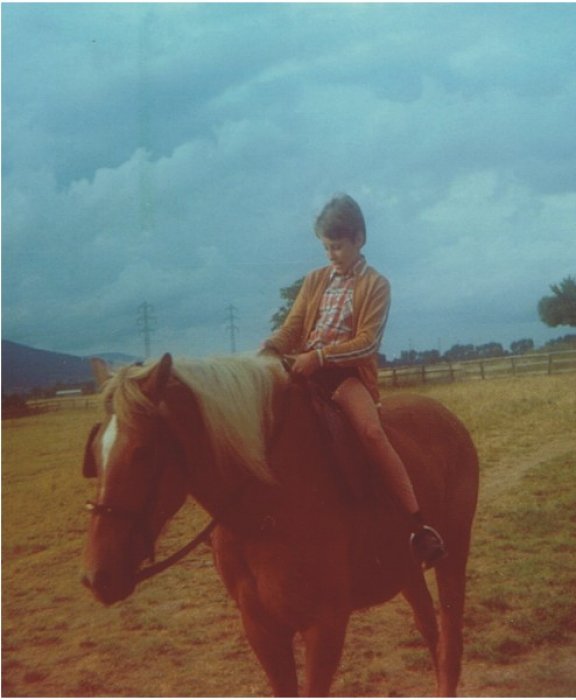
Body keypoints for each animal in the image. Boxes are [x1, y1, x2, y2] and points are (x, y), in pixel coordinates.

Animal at [81, 352, 476, 696]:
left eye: (142, 451)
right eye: (96, 451)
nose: (97, 577)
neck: (265, 511)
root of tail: (448, 418)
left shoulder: (325, 626)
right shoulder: (262, 629)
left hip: (453, 556)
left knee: (450, 641)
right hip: (405, 569)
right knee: (430, 629)